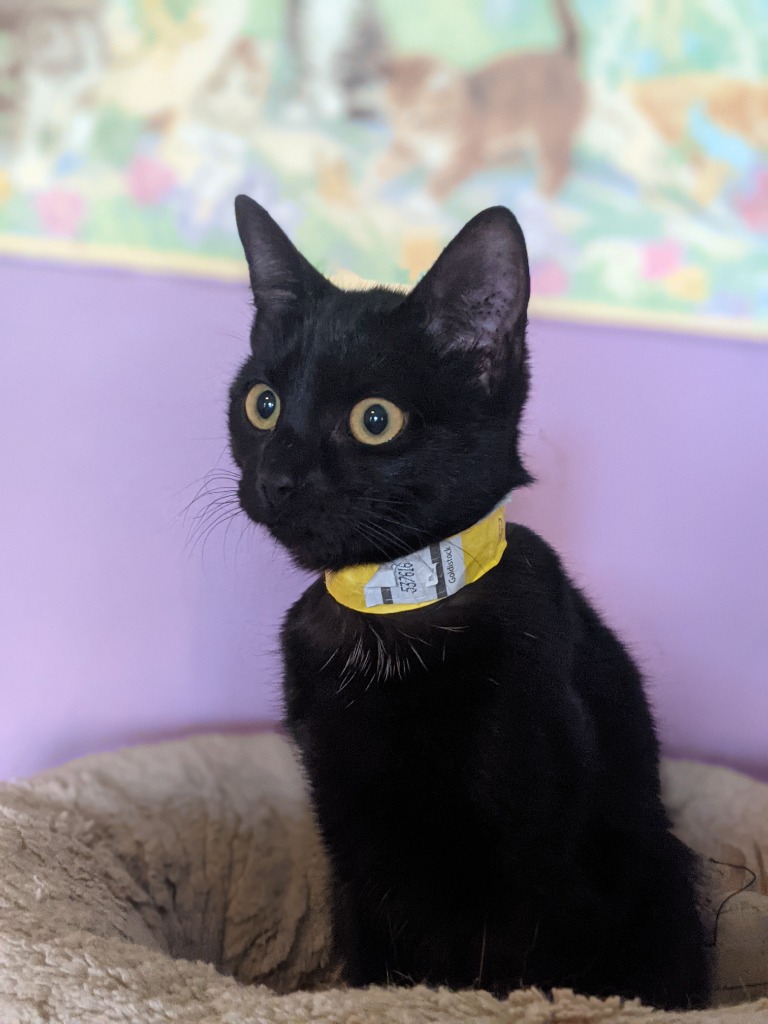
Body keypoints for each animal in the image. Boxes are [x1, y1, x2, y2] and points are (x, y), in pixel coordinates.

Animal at [227, 194, 710, 1009]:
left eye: (376, 419)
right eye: (262, 405)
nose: (277, 477)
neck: (390, 615)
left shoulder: (530, 857)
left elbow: (510, 973)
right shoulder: (345, 826)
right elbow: (371, 954)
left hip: (662, 865)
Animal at [376, 0, 585, 197]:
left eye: (416, 117)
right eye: (392, 114)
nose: (400, 130)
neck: (438, 132)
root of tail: (563, 59)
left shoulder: (465, 159)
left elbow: (437, 184)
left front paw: (419, 204)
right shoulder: (406, 148)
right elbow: (381, 166)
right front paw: (369, 189)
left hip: (549, 133)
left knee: (559, 167)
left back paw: (537, 199)